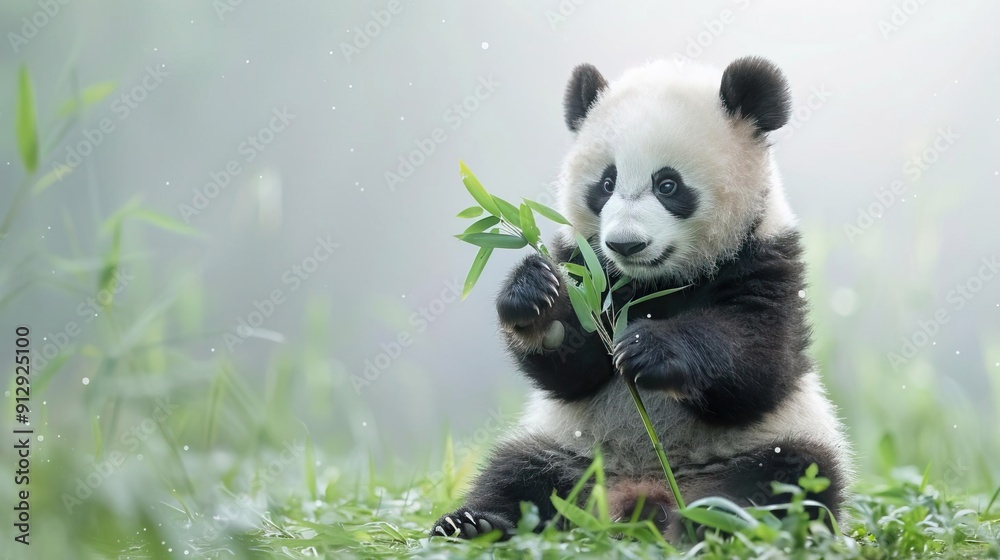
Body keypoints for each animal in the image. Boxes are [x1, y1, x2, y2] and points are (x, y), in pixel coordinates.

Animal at [431, 56, 853, 542]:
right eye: (606, 183)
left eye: (667, 185)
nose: (625, 244)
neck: (656, 282)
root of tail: (641, 496)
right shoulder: (588, 268)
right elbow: (572, 371)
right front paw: (534, 296)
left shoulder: (767, 259)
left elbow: (759, 361)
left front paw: (649, 348)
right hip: (571, 447)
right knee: (519, 475)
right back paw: (472, 523)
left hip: (774, 440)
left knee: (789, 480)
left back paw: (719, 522)